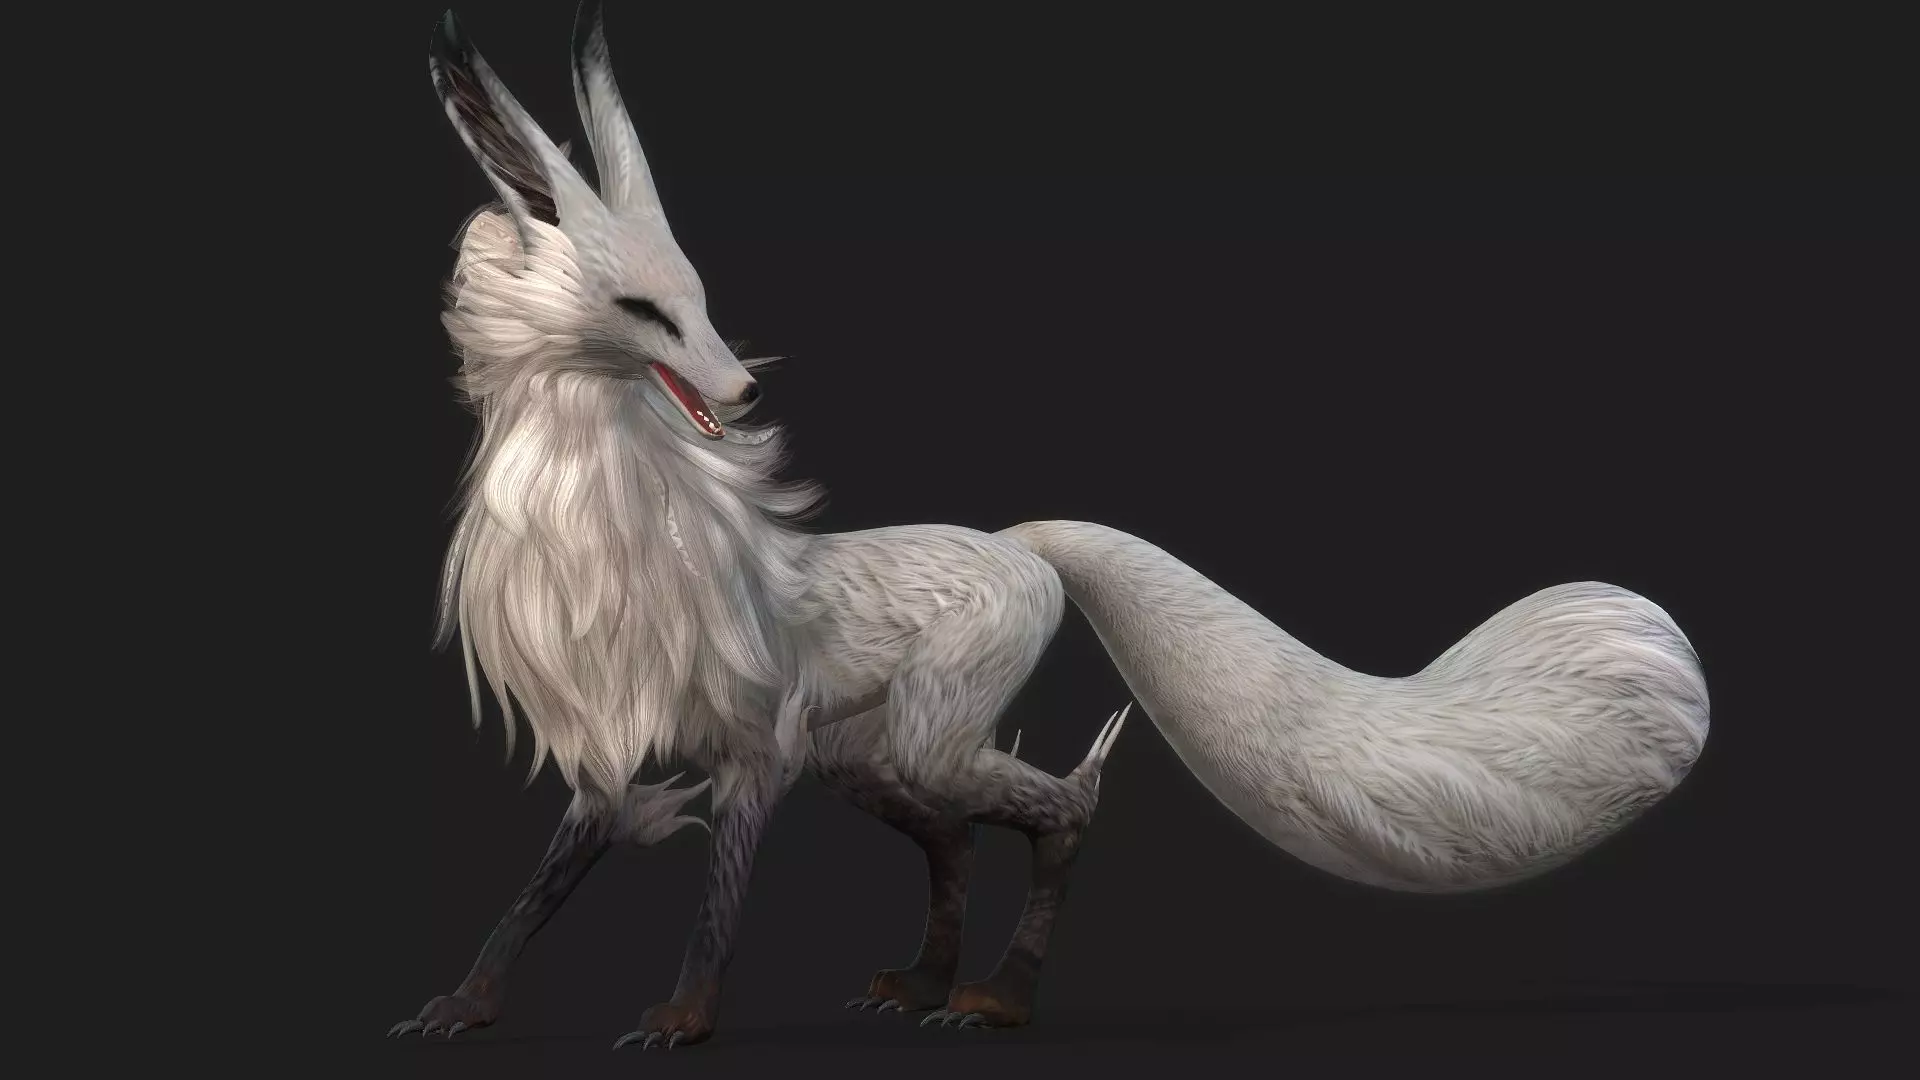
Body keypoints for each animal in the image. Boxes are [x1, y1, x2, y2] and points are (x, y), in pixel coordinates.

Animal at [391, 3, 1712, 1050]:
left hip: (915, 738)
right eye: (642, 311)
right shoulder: (613, 747)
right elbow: (541, 887)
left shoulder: (759, 746)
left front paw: (684, 1020)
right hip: (871, 757)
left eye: (704, 303)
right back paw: (924, 982)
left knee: (1060, 811)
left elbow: (718, 901)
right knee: (959, 839)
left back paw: (998, 1000)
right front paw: (465, 1006)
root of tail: (1023, 542)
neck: (605, 542)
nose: (743, 389)